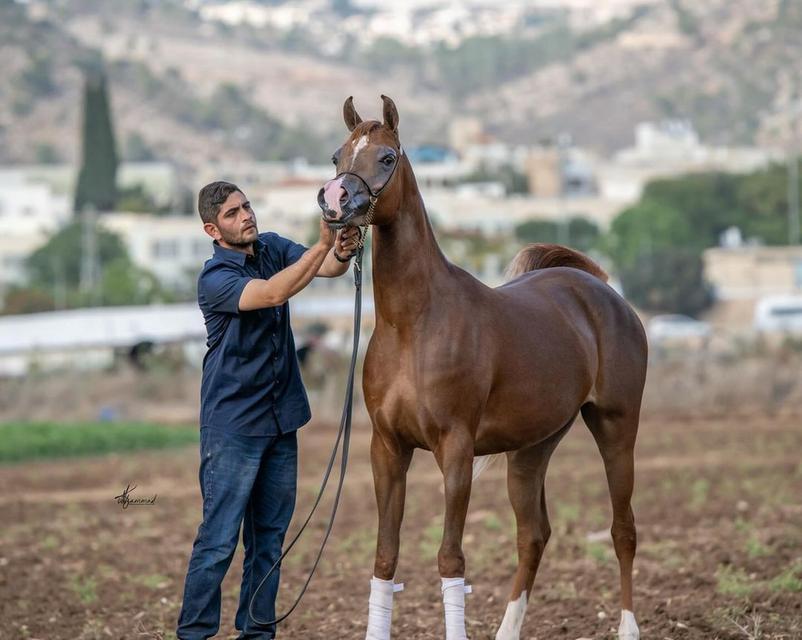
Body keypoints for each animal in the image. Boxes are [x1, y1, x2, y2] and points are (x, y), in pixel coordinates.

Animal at [318, 96, 648, 640]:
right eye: (337, 156)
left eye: (387, 157)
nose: (334, 200)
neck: (414, 323)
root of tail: (599, 289)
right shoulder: (387, 449)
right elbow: (385, 558)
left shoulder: (455, 449)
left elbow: (450, 559)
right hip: (532, 448)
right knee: (533, 534)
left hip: (617, 429)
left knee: (623, 530)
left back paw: (628, 628)